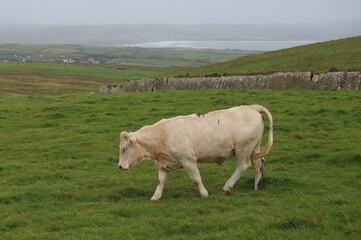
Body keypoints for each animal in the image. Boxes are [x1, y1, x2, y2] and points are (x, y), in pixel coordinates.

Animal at [118, 104, 272, 200]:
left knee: (243, 166)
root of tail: (252, 107)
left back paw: (226, 188)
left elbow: (196, 179)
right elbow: (161, 180)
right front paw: (156, 196)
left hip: (242, 148)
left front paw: (204, 194)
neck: (163, 134)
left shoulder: (188, 160)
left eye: (124, 149)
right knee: (258, 164)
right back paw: (257, 187)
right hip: (254, 148)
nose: (120, 166)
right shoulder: (165, 163)